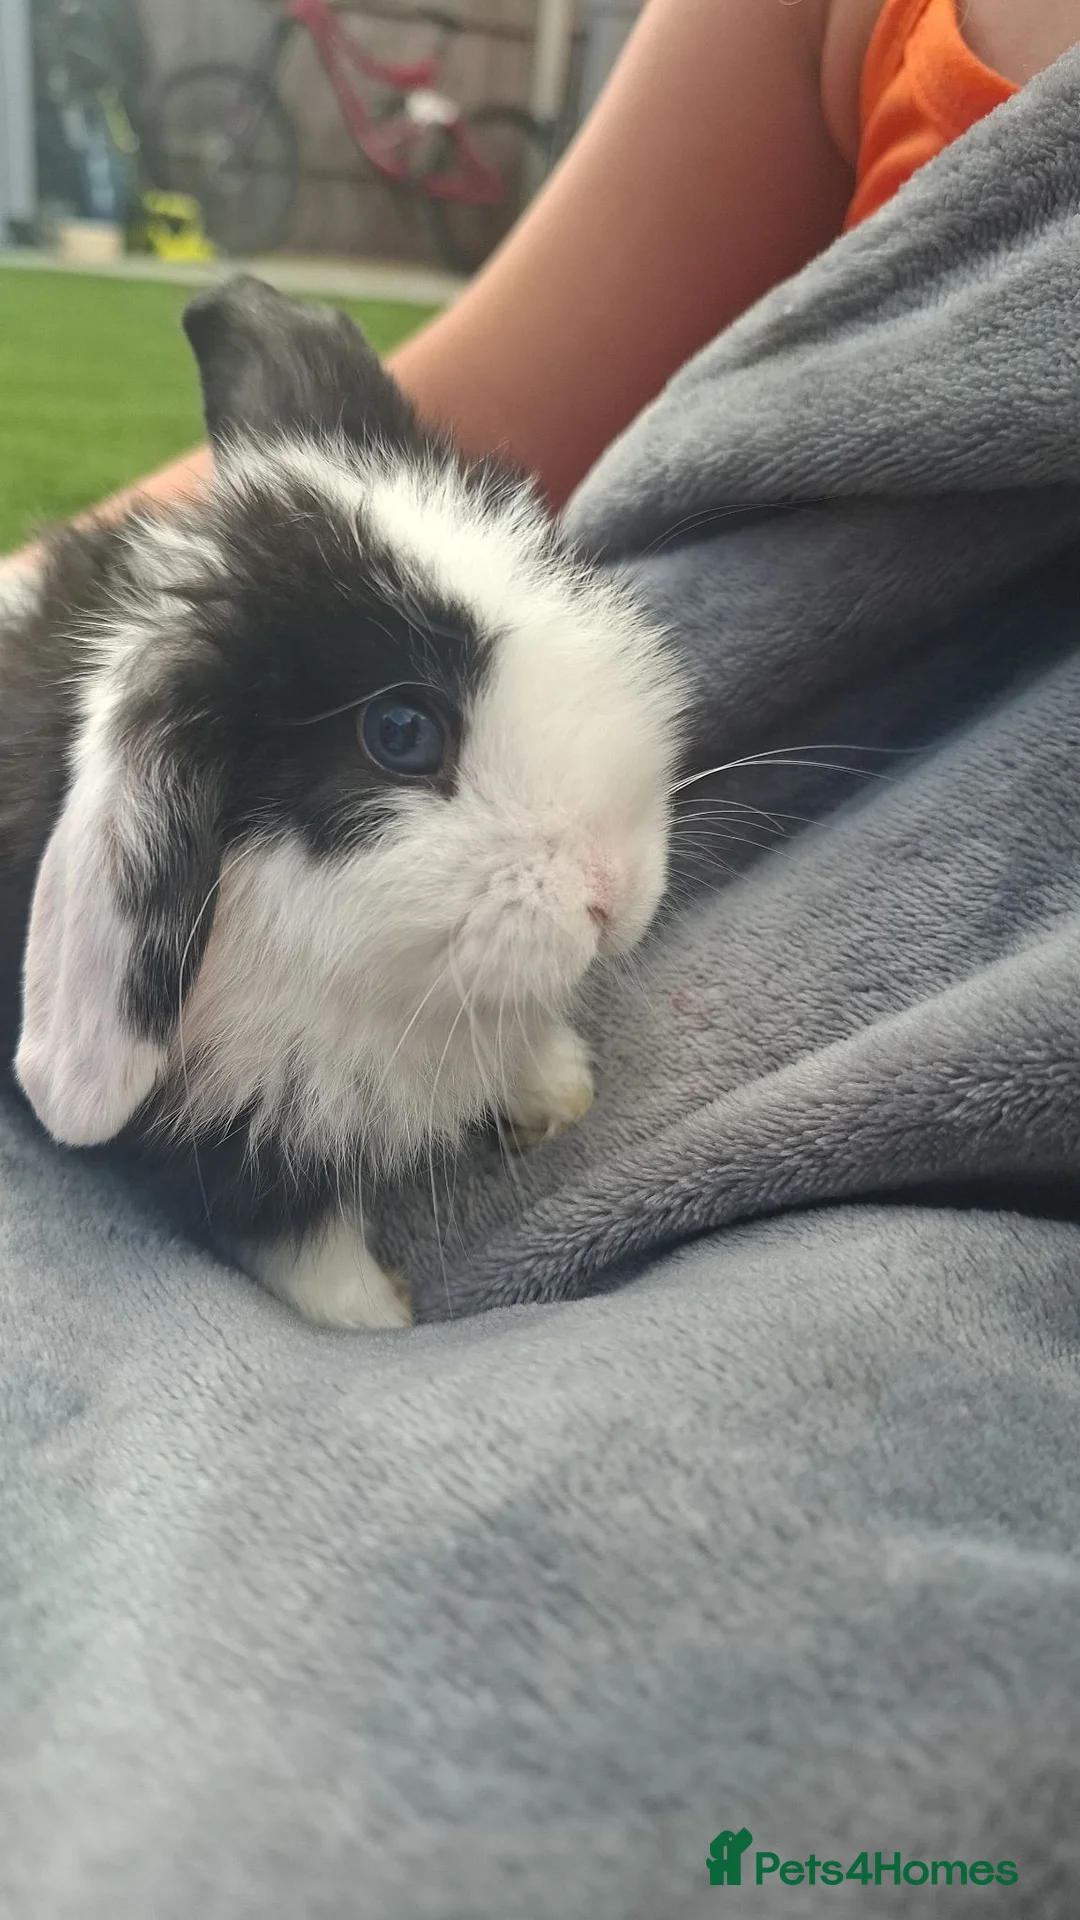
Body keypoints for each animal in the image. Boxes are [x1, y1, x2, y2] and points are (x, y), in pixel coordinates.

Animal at [0, 276, 683, 1329]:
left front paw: (558, 1091)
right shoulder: (227, 1133)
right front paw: (378, 1315)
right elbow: (295, 1236)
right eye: (400, 733)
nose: (617, 890)